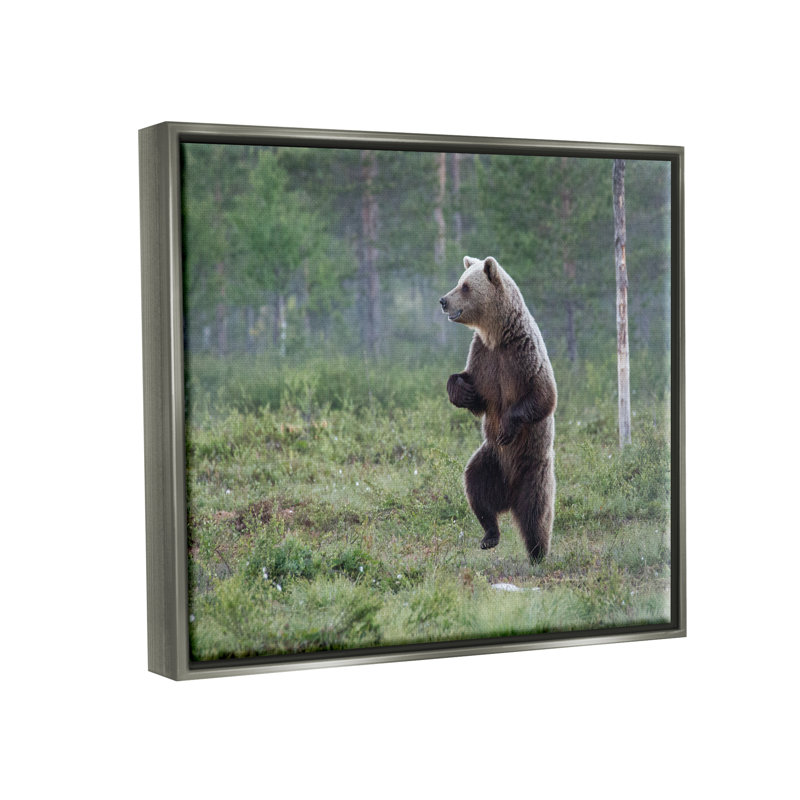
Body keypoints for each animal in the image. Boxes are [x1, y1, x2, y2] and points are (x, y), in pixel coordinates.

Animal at [439, 256, 557, 561]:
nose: (443, 300)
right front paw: (461, 389)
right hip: (490, 461)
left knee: (536, 513)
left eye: (465, 286)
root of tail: (509, 497)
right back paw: (489, 535)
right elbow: (477, 394)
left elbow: (543, 396)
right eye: (460, 281)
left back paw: (538, 553)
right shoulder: (484, 358)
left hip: (533, 469)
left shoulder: (523, 355)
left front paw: (506, 427)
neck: (497, 335)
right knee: (475, 487)